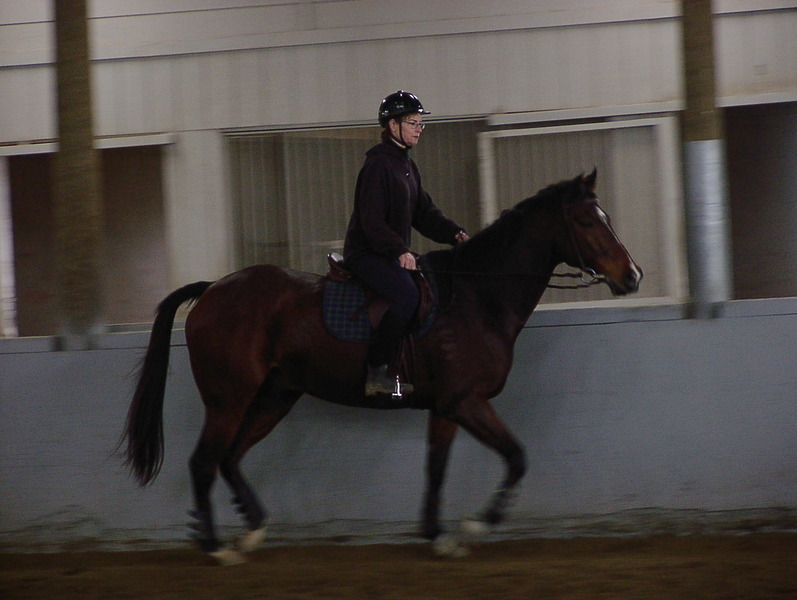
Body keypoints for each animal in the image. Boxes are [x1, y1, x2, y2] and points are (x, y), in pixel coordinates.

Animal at [123, 169, 642, 563]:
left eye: (605, 217)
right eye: (586, 220)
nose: (632, 276)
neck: (477, 295)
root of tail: (213, 289)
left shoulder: (448, 407)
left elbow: (437, 468)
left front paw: (438, 536)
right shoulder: (467, 402)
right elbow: (516, 458)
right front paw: (476, 525)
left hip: (274, 396)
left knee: (230, 458)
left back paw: (251, 531)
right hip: (228, 400)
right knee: (204, 462)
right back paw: (216, 548)